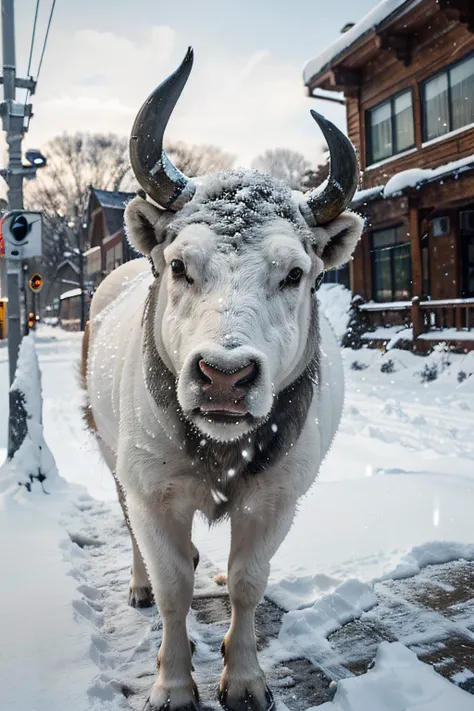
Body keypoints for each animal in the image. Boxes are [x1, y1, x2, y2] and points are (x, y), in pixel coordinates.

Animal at [83, 48, 362, 711]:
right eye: (181, 264)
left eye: (294, 273)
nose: (225, 377)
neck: (220, 448)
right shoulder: (153, 492)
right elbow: (172, 589)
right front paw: (174, 684)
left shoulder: (276, 498)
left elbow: (246, 584)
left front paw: (244, 678)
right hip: (111, 454)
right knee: (131, 530)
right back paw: (139, 585)